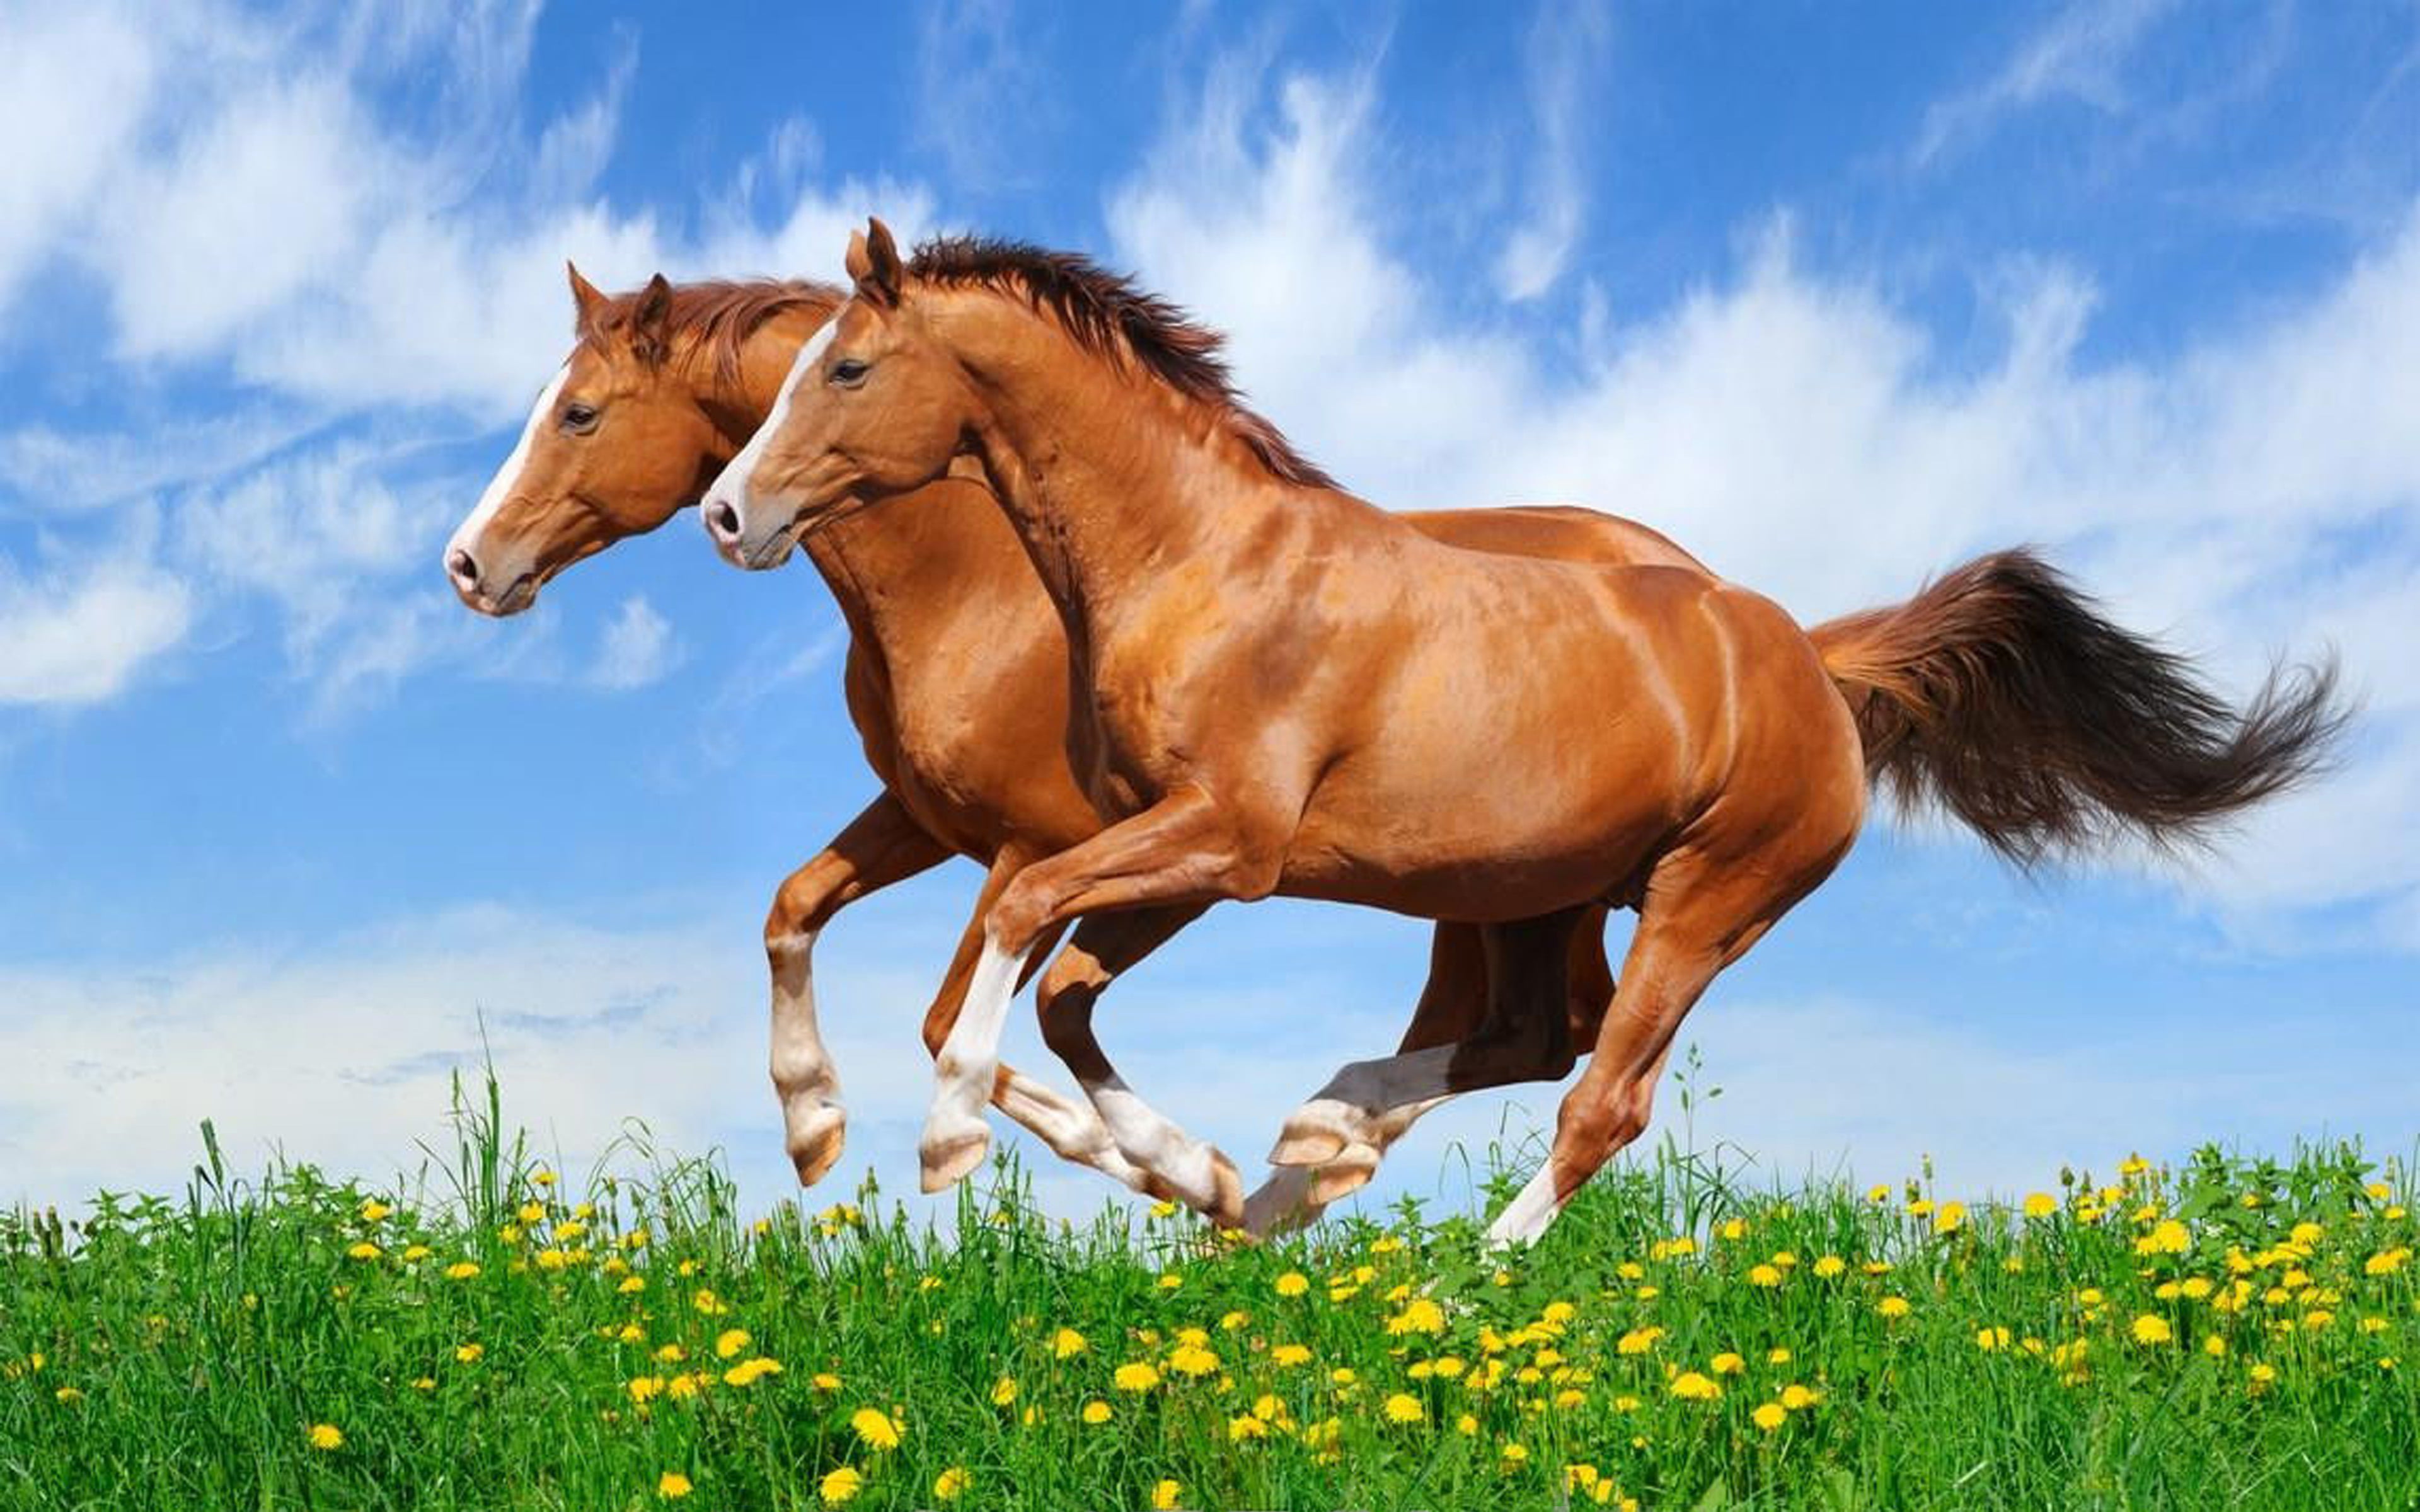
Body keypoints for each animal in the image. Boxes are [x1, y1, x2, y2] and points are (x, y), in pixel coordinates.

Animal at [443, 264, 1720, 1229]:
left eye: (579, 413)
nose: (467, 564)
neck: (980, 577)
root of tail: (1714, 598)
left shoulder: (1054, 844)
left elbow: (955, 1017)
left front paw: (1177, 1172)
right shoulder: (930, 821)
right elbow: (796, 908)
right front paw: (814, 1123)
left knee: (1536, 1038)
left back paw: (1302, 1170)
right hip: (1509, 888)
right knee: (1536, 1033)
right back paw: (1315, 1167)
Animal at [702, 219, 2345, 1246]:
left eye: (847, 368)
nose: (729, 512)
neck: (1199, 560)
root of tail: (1808, 658)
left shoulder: (1223, 840)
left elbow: (1016, 931)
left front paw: (944, 1141)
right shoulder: (1161, 845)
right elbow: (1051, 978)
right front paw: (1197, 1172)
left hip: (1708, 897)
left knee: (1598, 1094)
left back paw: (1469, 1265)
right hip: (1530, 890)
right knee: (1524, 1037)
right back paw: (1309, 1154)